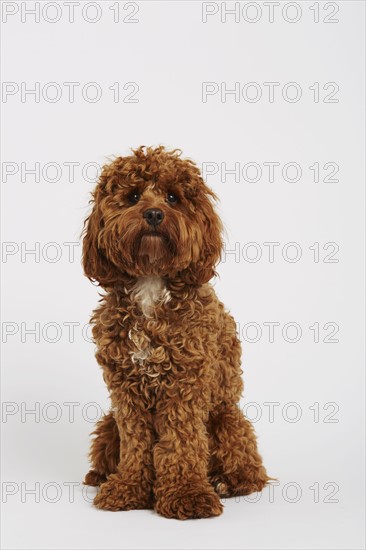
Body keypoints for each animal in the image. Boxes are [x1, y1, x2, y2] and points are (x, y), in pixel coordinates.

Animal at [82, 144, 268, 520]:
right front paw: (129, 487)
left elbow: (181, 442)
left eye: (172, 197)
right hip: (108, 423)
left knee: (250, 470)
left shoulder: (187, 383)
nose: (154, 214)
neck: (151, 283)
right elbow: (136, 444)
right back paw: (101, 476)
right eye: (133, 196)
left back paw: (224, 482)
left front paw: (187, 494)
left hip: (227, 419)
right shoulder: (126, 390)